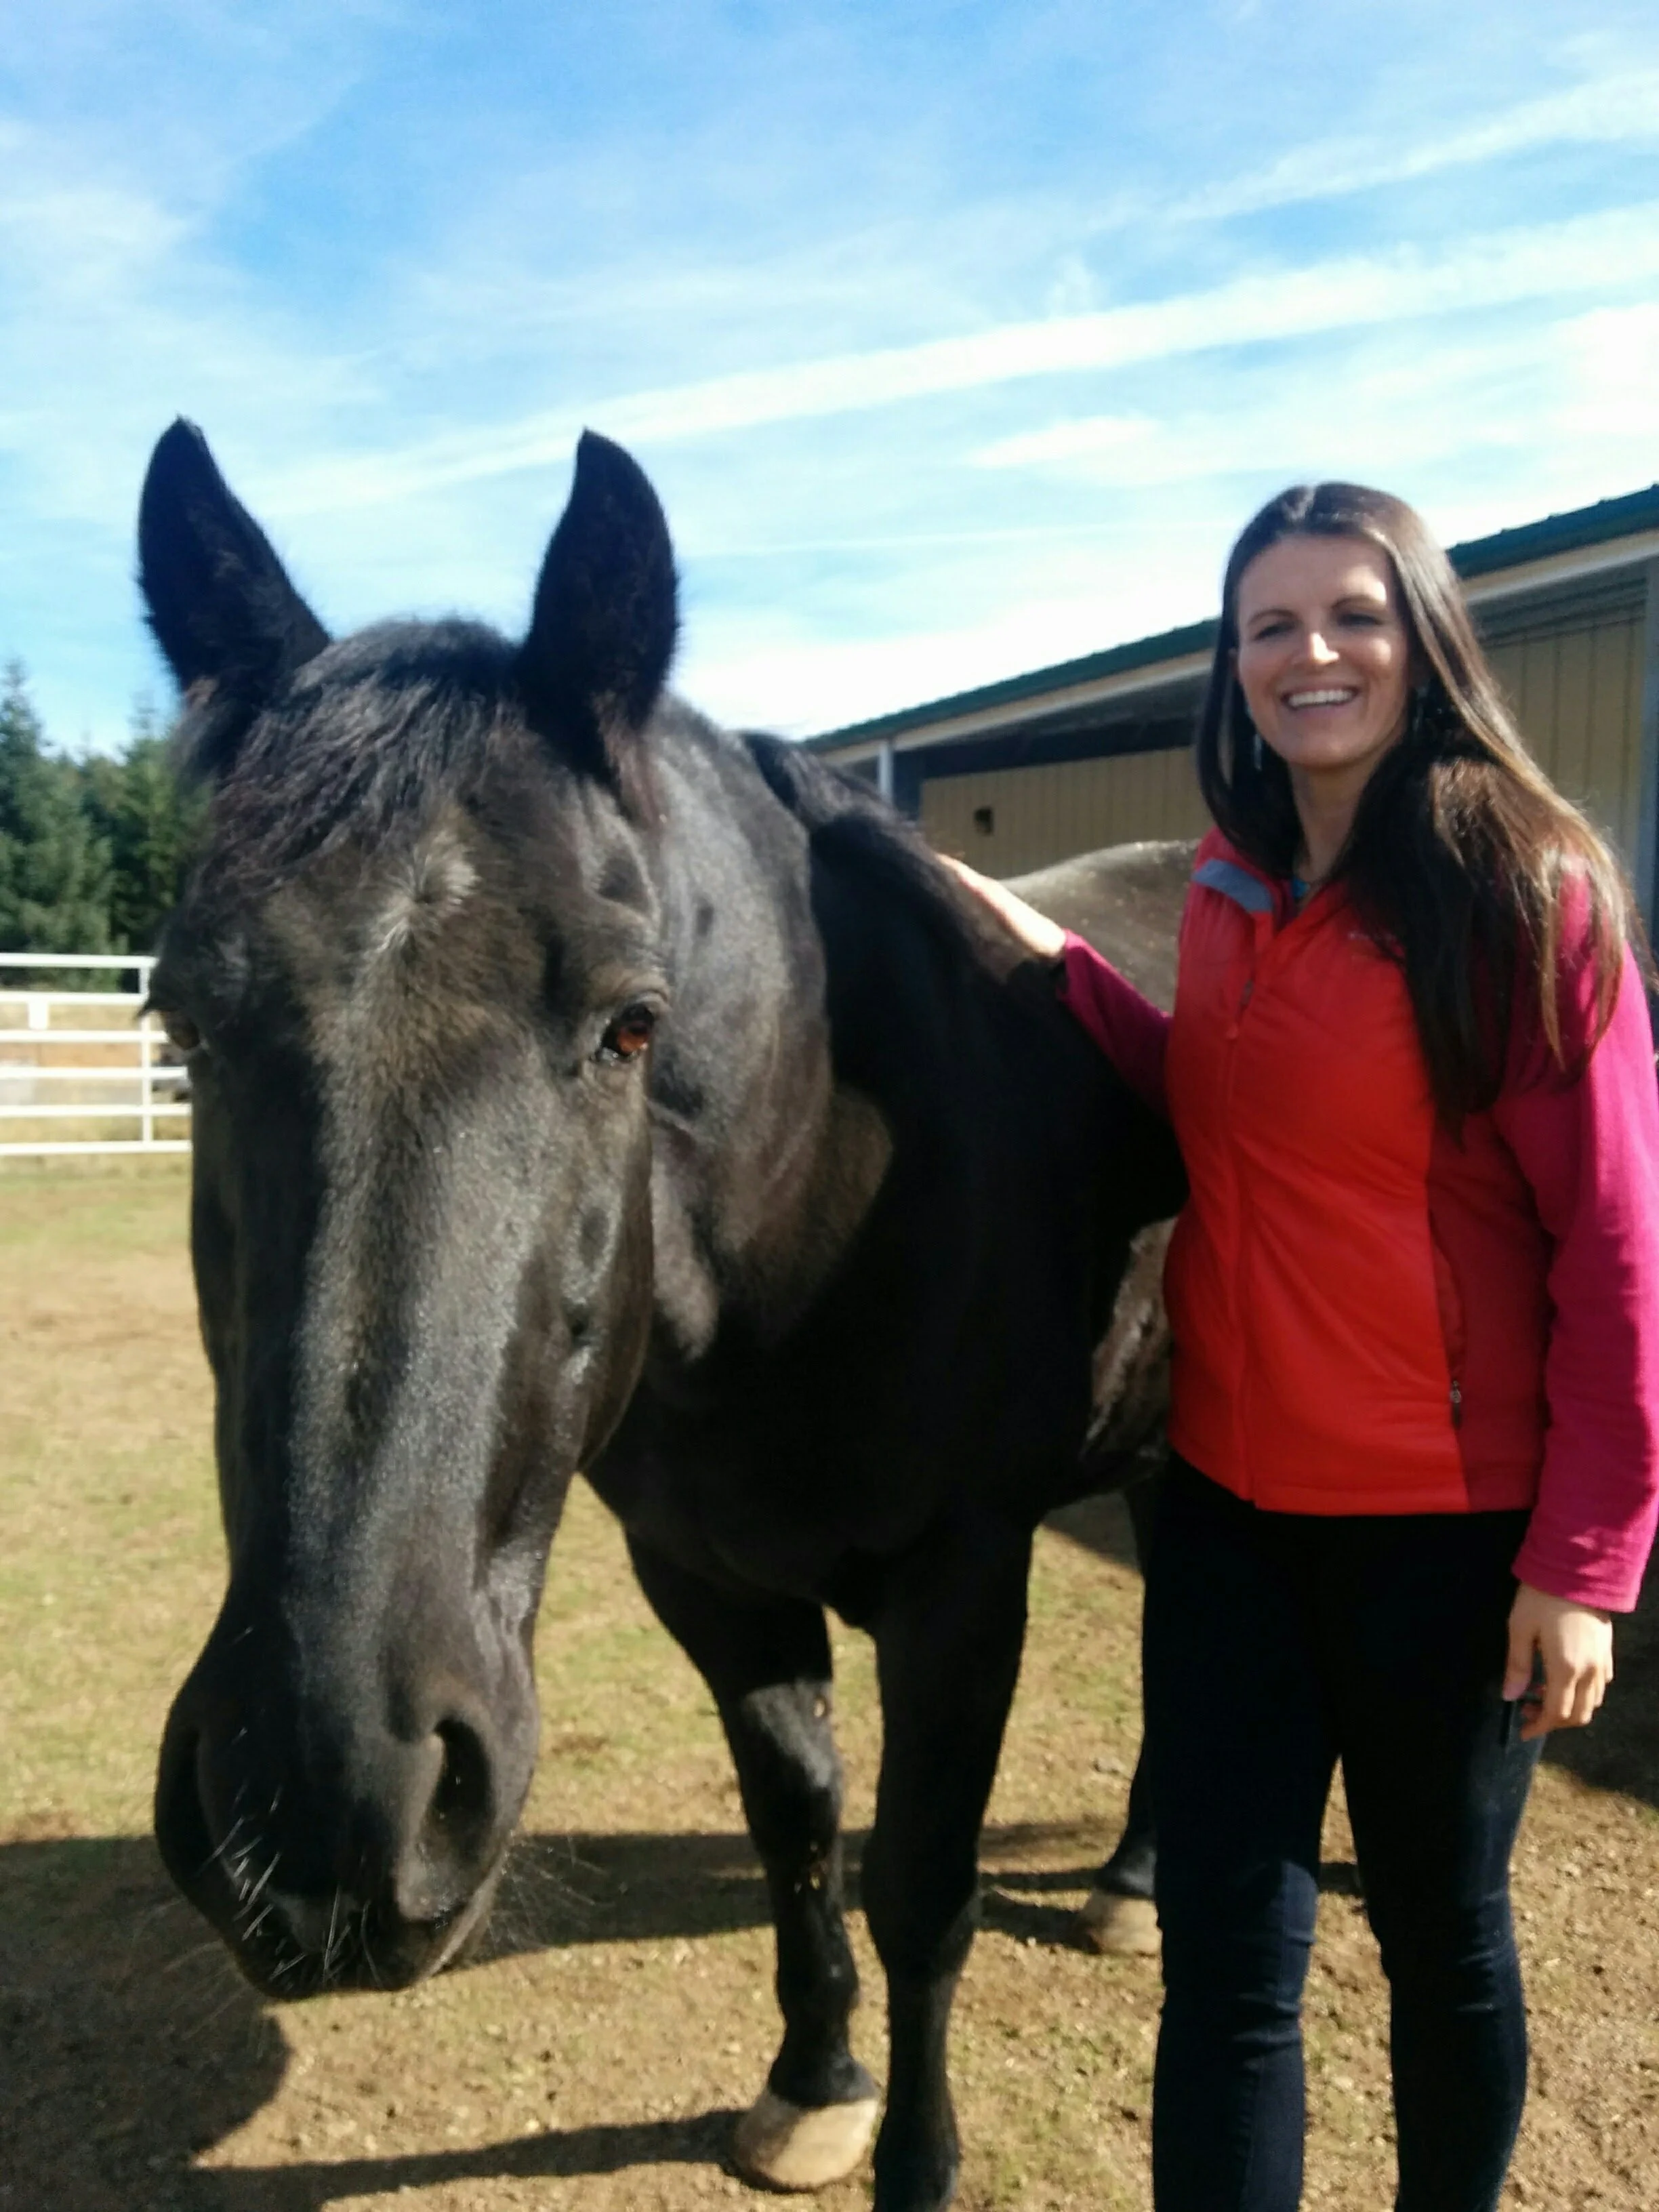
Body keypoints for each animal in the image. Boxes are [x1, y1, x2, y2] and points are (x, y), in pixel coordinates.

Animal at [140, 419, 1187, 2212]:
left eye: (634, 1022)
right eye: (182, 1020)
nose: (330, 1793)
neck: (825, 1195)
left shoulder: (962, 1584)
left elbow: (921, 1887)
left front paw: (916, 2156)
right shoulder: (704, 1577)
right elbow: (797, 1826)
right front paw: (812, 2083)